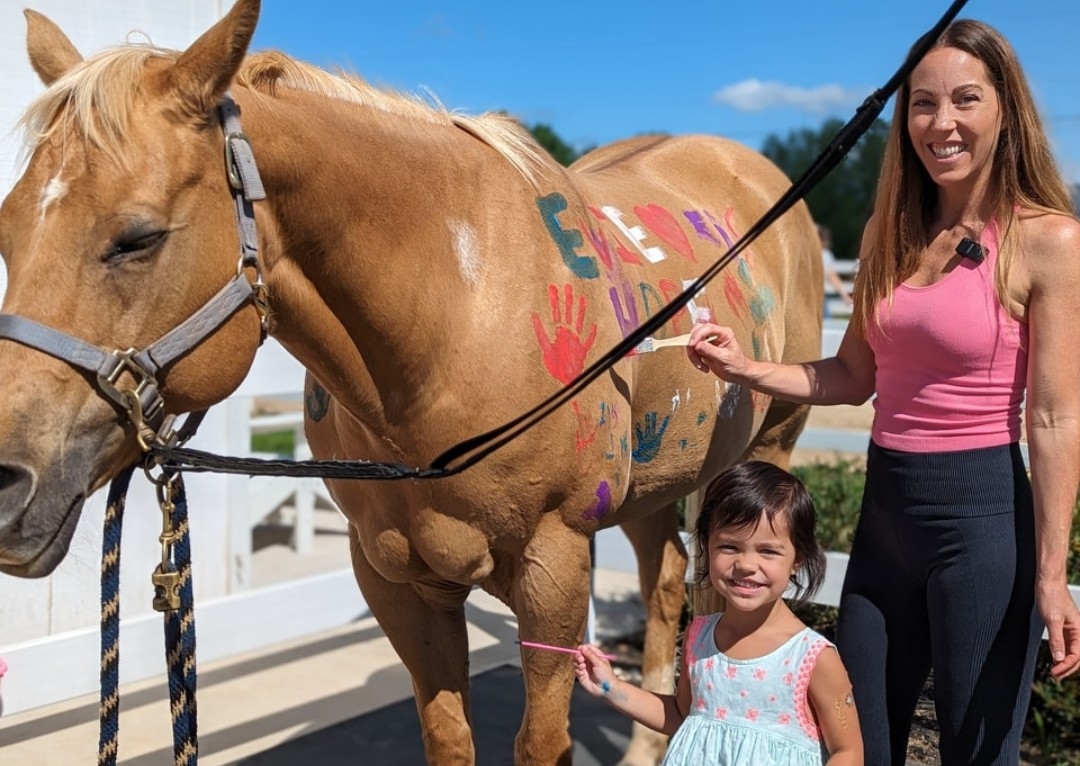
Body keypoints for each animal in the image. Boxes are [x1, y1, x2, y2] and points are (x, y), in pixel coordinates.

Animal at [0, 1, 822, 763]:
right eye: (7, 230)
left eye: (137, 238)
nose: (6, 483)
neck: (457, 327)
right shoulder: (395, 579)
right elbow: (448, 736)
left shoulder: (553, 570)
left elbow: (540, 741)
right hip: (649, 485)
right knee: (666, 580)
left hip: (767, 446)